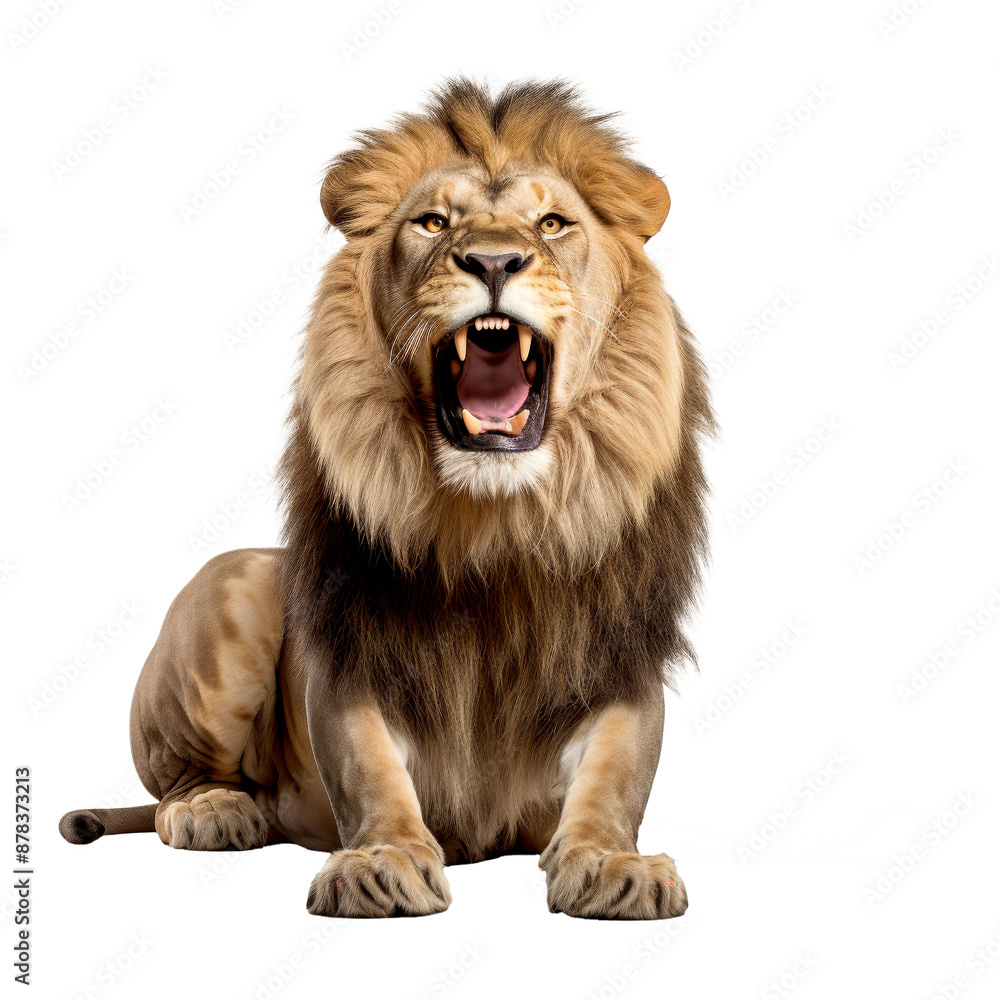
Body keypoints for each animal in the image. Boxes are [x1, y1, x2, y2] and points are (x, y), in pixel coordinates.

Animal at [60, 78, 713, 920]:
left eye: (552, 224)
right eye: (434, 222)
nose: (494, 259)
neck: (493, 529)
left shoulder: (617, 659)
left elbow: (617, 772)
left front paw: (612, 863)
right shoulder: (352, 658)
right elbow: (368, 767)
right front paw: (381, 861)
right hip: (230, 584)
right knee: (180, 786)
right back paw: (216, 810)